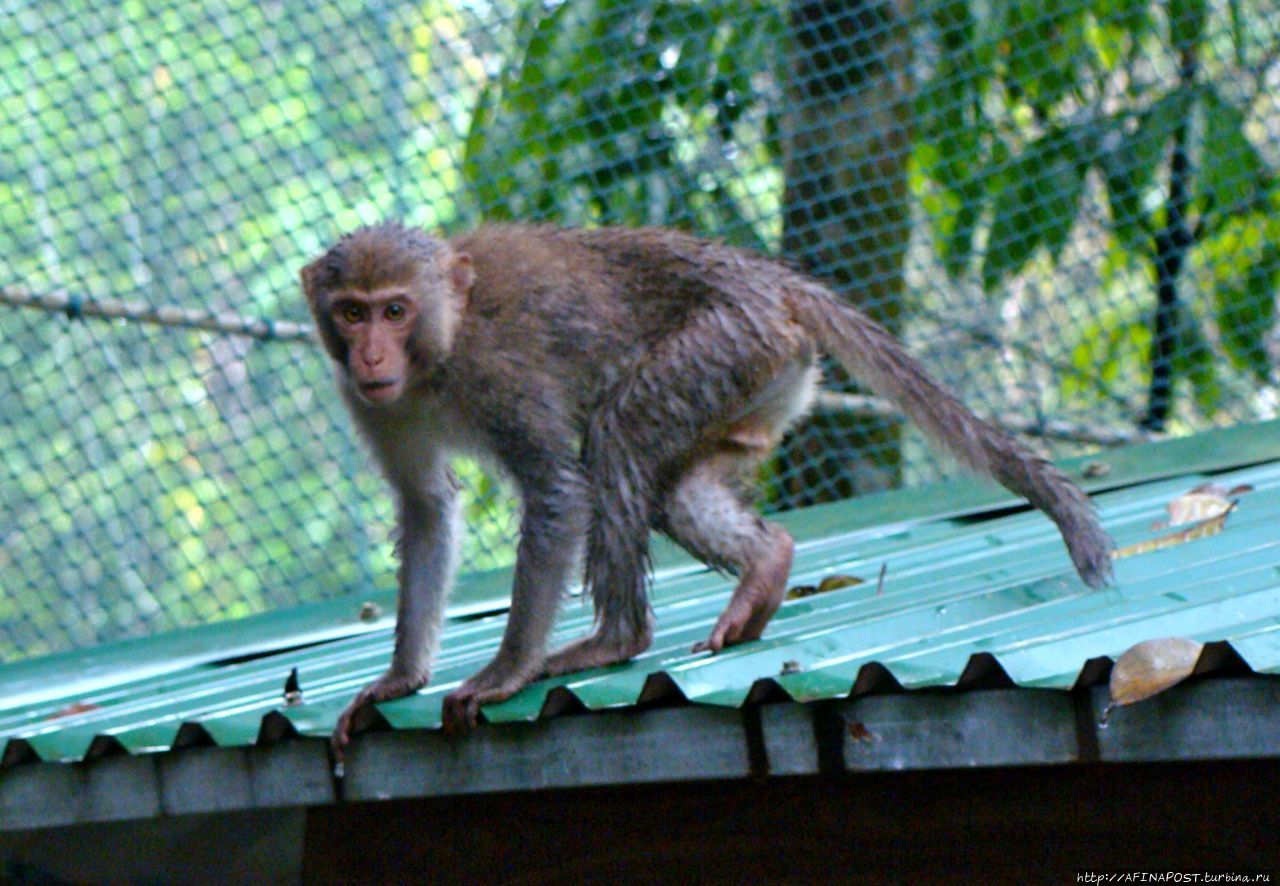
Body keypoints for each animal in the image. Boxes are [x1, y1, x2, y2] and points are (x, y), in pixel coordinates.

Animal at [302, 222, 1111, 747]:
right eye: (352, 312)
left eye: (395, 309)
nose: (372, 353)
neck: (437, 354)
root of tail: (769, 280)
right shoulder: (368, 399)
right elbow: (426, 508)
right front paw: (399, 678)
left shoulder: (495, 373)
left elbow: (558, 490)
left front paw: (506, 672)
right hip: (761, 381)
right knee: (670, 487)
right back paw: (766, 565)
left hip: (724, 343)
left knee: (618, 437)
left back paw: (616, 639)